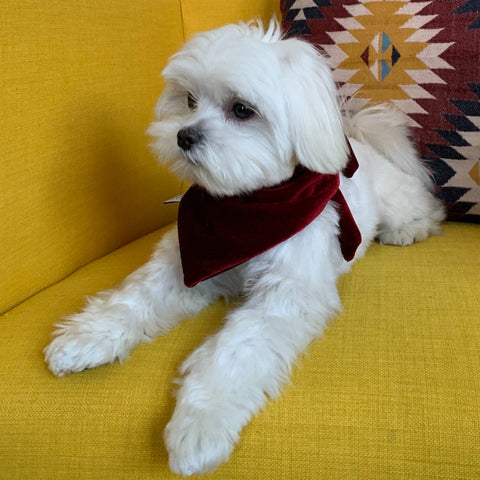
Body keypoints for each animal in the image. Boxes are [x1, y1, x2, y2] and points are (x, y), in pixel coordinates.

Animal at [45, 19, 446, 476]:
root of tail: (360, 143)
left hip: (395, 200)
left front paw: (199, 425)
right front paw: (86, 337)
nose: (183, 135)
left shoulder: (283, 296)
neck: (243, 207)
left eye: (242, 110)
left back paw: (409, 230)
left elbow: (235, 351)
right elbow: (135, 298)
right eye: (188, 100)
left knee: (425, 208)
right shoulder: (184, 261)